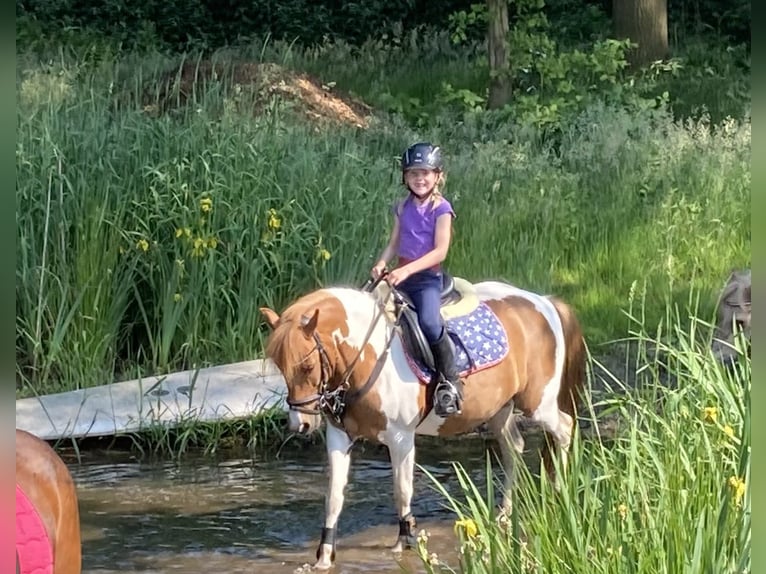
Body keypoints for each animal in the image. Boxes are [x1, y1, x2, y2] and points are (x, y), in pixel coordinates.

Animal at [260, 280, 584, 572]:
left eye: (307, 366)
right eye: (280, 367)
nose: (300, 424)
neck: (367, 357)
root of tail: (543, 302)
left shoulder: (400, 438)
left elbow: (402, 490)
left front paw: (403, 543)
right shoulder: (339, 437)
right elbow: (334, 498)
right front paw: (324, 557)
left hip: (538, 403)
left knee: (564, 429)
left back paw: (560, 495)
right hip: (499, 408)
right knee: (513, 447)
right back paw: (505, 513)